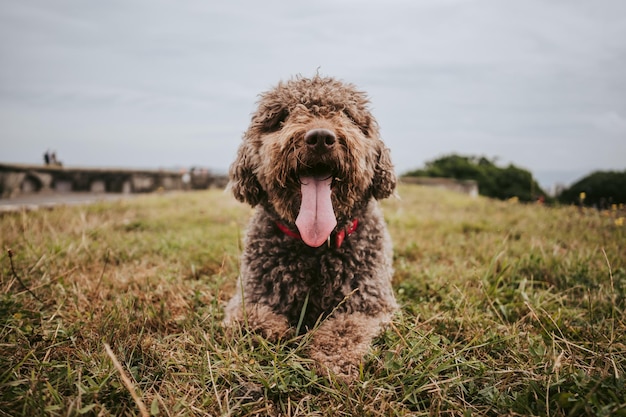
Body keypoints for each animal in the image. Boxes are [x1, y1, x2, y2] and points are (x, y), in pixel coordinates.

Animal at [223, 75, 394, 380]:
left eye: (346, 114)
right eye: (282, 117)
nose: (321, 138)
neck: (315, 246)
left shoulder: (369, 305)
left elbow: (345, 330)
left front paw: (334, 359)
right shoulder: (249, 297)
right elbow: (252, 319)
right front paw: (278, 332)